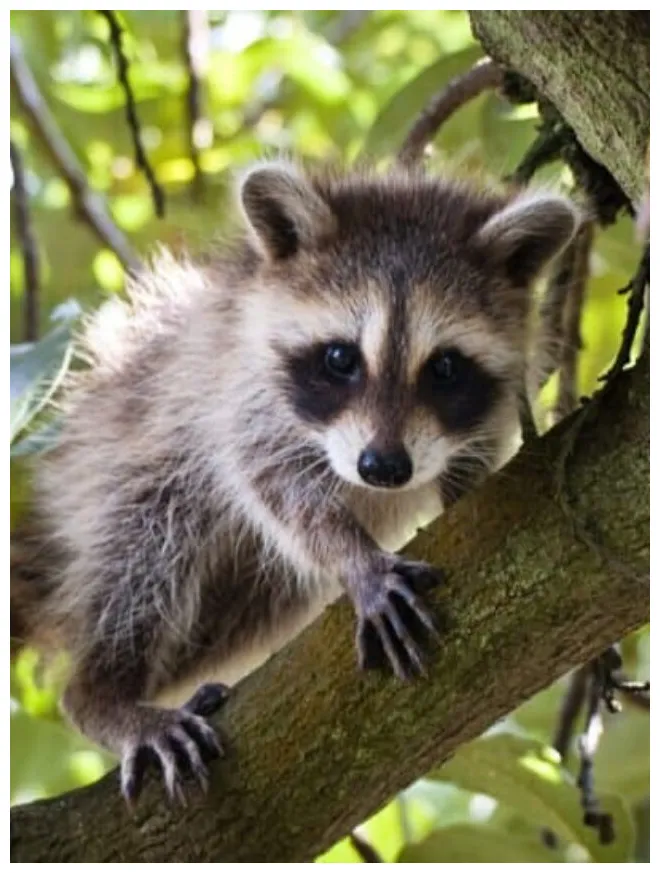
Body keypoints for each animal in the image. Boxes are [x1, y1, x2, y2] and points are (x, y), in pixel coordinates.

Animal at [11, 160, 580, 803]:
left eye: (445, 368)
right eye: (340, 358)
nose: (384, 469)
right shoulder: (236, 390)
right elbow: (272, 481)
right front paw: (356, 557)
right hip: (117, 470)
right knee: (145, 553)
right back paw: (103, 692)